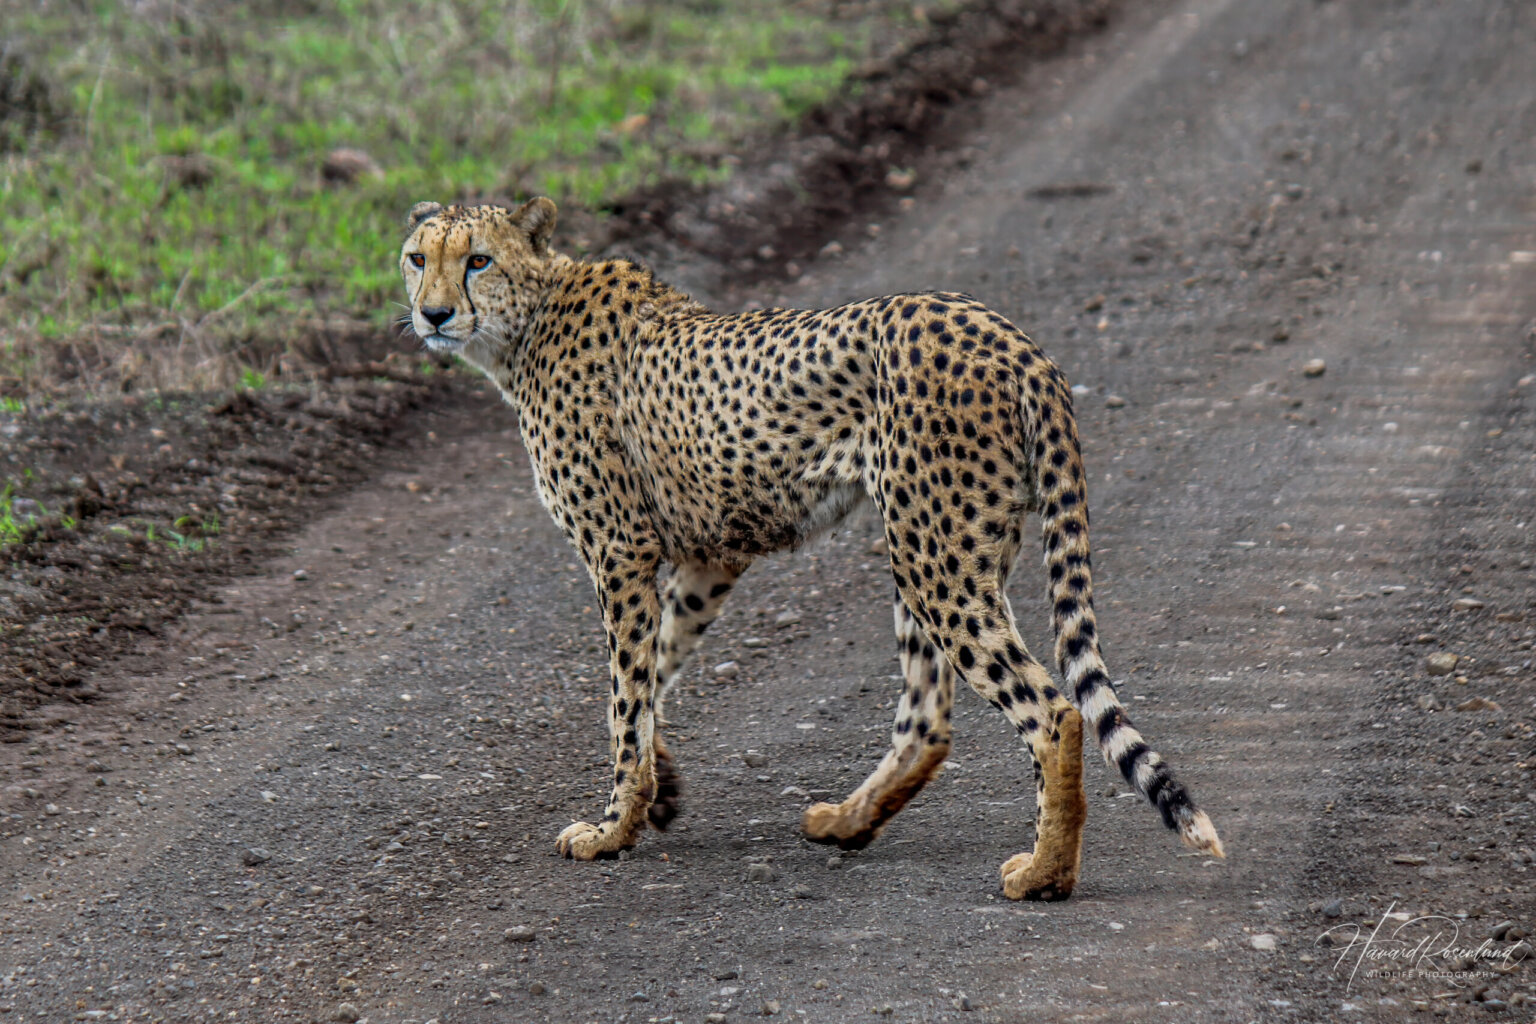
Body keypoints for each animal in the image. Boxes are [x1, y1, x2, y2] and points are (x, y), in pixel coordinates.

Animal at [398, 197, 1225, 901]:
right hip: (938, 545)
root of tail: (1007, 334)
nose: (432, 313)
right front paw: (660, 789)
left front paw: (613, 827)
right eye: (416, 258)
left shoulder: (620, 551)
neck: (527, 322)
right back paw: (848, 822)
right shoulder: (708, 557)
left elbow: (625, 696)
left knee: (1053, 710)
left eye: (477, 260)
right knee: (929, 718)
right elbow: (657, 671)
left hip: (933, 551)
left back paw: (1044, 874)